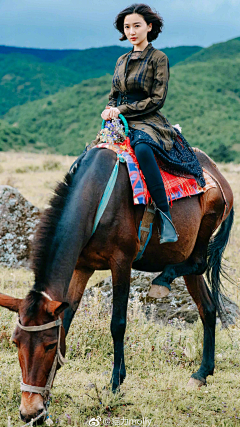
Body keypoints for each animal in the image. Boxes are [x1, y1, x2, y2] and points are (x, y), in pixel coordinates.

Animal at [0, 148, 233, 424]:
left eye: (49, 346)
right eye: (16, 343)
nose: (29, 412)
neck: (96, 195)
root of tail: (218, 176)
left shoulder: (121, 262)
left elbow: (117, 324)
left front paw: (115, 385)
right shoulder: (81, 267)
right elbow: (66, 322)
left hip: (202, 236)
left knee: (198, 264)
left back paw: (162, 281)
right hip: (184, 252)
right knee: (207, 308)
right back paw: (201, 374)